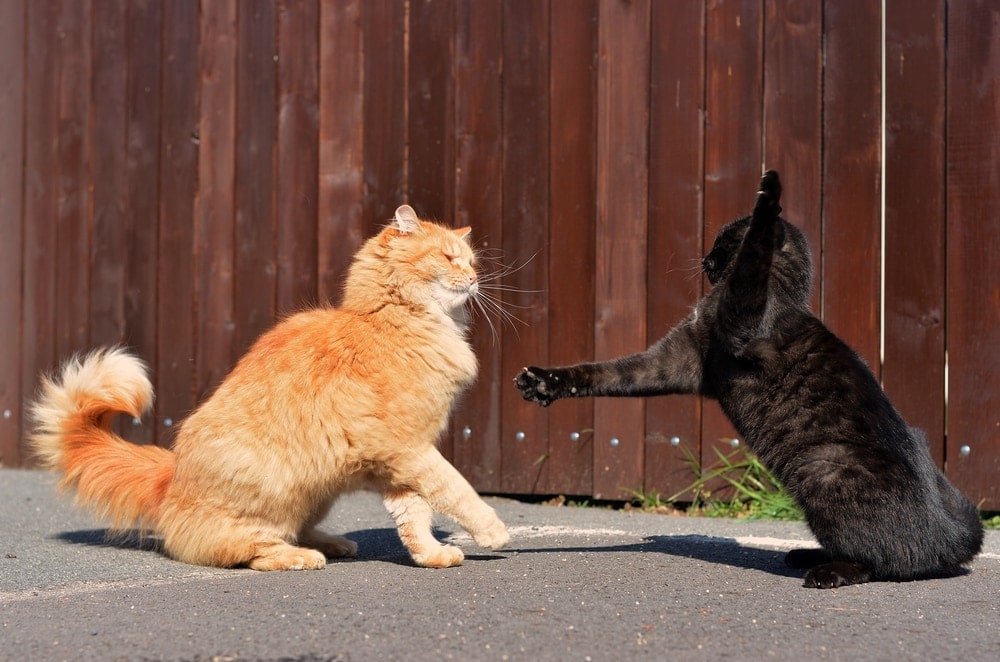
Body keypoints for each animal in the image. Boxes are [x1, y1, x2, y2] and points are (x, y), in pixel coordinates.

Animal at [30, 206, 508, 572]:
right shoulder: (410, 449)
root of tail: (171, 476)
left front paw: (431, 555)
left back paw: (332, 542)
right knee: (244, 549)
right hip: (278, 492)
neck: (393, 323)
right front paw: (492, 531)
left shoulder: (400, 461)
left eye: (471, 262)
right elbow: (457, 490)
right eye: (449, 257)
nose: (474, 280)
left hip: (320, 491)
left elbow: (416, 515)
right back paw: (301, 556)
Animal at [516, 171, 984, 592]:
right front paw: (544, 383)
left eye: (724, 243)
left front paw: (769, 195)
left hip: (824, 470)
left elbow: (752, 262)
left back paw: (828, 571)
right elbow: (602, 372)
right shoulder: (670, 362)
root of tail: (947, 538)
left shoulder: (743, 316)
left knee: (880, 560)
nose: (705, 258)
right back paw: (807, 554)